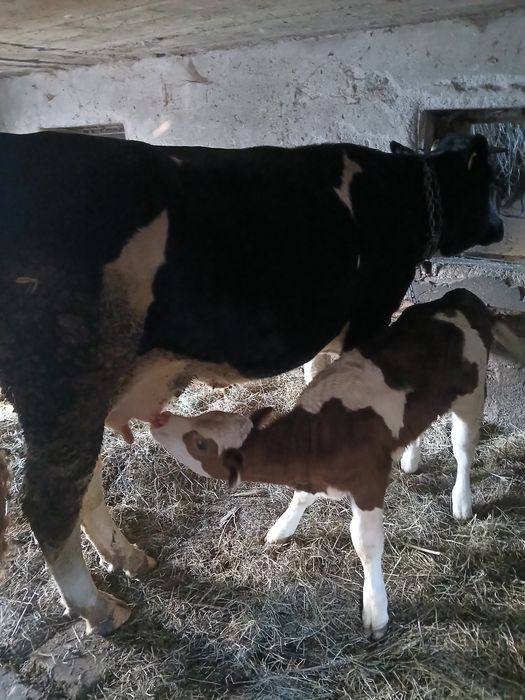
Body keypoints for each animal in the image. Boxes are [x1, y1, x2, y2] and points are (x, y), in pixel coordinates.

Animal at [150, 288, 525, 639]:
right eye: (205, 416)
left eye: (200, 443)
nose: (160, 419)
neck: (313, 440)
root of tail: (459, 296)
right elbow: (301, 498)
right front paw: (282, 528)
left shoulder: (369, 482)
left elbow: (366, 543)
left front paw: (376, 610)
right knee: (419, 424)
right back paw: (410, 459)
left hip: (472, 393)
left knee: (463, 449)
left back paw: (461, 501)